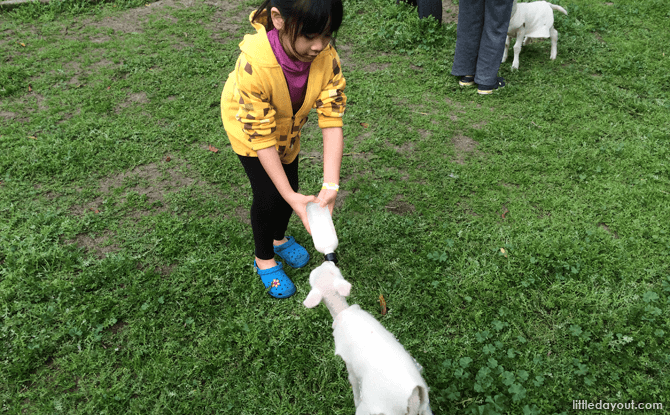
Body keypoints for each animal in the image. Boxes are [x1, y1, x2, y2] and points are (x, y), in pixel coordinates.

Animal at [304, 264, 434, 415]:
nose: (326, 262)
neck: (342, 311)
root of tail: (412, 397)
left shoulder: (350, 365)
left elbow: (354, 385)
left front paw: (355, 400)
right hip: (425, 407)